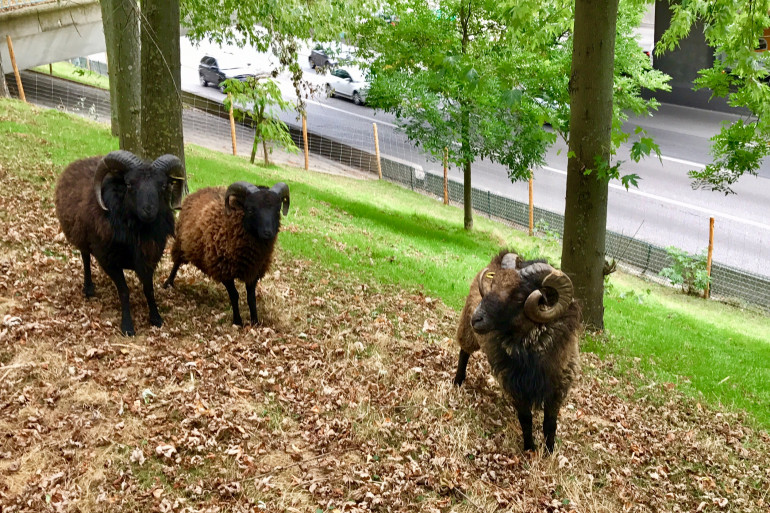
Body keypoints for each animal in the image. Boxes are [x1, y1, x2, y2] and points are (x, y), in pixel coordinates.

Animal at [54, 149, 186, 336]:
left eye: (163, 186)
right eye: (129, 185)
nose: (148, 210)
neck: (138, 231)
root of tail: (80, 161)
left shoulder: (148, 259)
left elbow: (149, 289)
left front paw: (156, 318)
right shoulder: (109, 261)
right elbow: (124, 291)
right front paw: (127, 326)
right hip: (82, 237)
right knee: (85, 258)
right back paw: (88, 288)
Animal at [164, 180, 290, 324]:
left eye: (277, 210)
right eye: (250, 209)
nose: (268, 233)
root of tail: (201, 190)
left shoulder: (253, 271)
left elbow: (251, 298)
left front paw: (255, 321)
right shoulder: (223, 270)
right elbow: (234, 295)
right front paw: (238, 321)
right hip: (181, 243)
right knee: (176, 263)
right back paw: (168, 283)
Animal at [452, 249, 580, 452]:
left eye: (520, 297)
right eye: (493, 284)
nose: (477, 318)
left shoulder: (558, 386)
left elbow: (550, 423)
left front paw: (549, 451)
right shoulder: (514, 385)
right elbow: (526, 419)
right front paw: (530, 448)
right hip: (467, 330)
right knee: (464, 352)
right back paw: (458, 381)